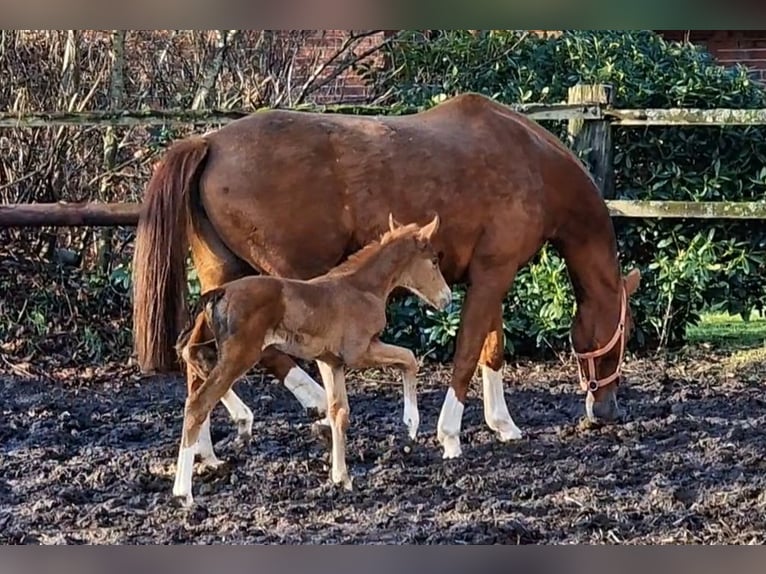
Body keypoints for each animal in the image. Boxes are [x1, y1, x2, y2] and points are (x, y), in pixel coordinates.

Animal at [171, 216, 452, 508]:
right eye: (434, 260)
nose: (447, 298)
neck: (363, 288)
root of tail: (220, 292)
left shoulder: (330, 361)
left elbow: (339, 411)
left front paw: (341, 478)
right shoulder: (360, 352)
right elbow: (409, 359)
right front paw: (411, 425)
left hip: (224, 348)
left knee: (194, 359)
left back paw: (227, 440)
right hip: (241, 353)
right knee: (199, 402)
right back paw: (184, 491)